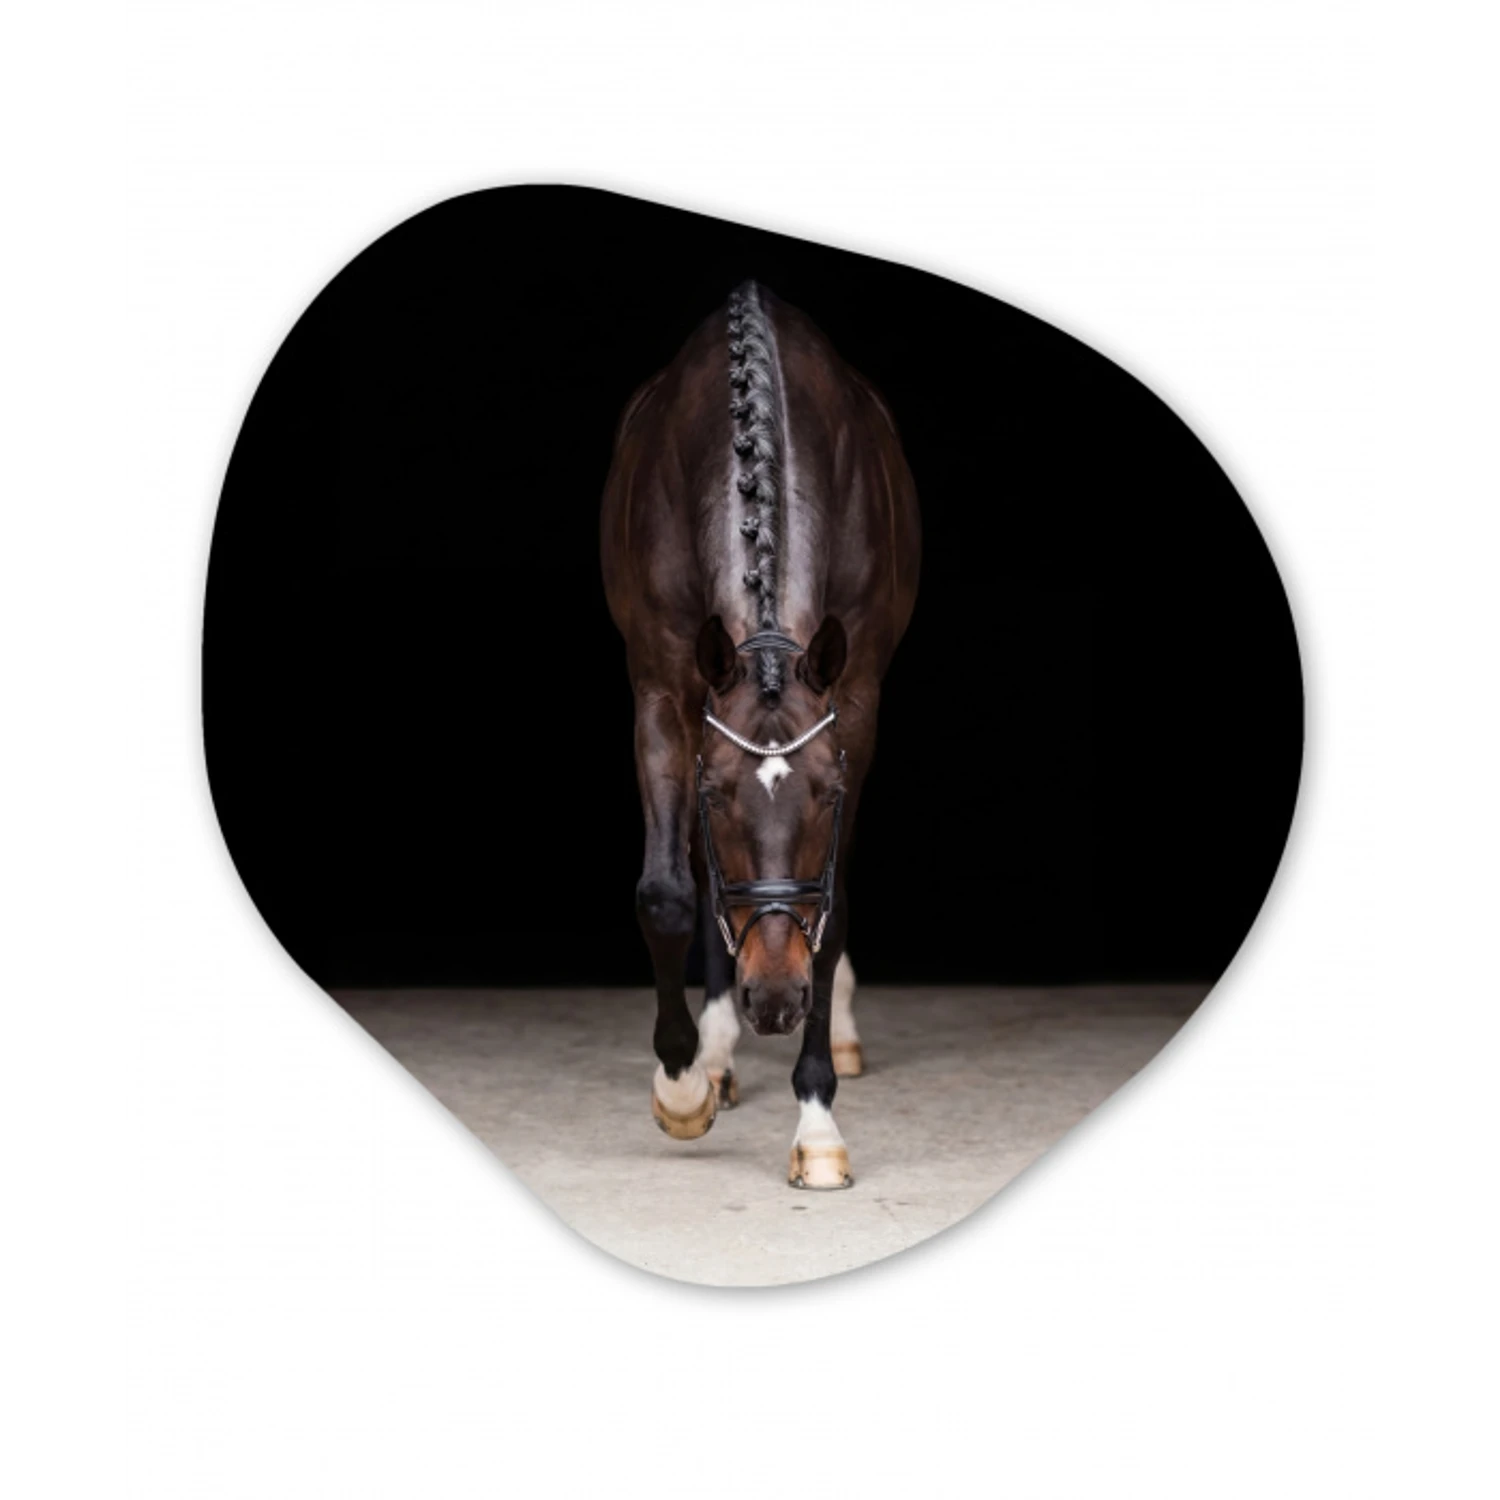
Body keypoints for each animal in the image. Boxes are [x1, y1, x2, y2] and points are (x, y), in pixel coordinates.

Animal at [600, 280, 920, 1189]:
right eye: (714, 796)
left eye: (828, 793)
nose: (774, 1000)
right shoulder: (662, 691)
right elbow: (670, 892)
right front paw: (681, 1087)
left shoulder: (855, 702)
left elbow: (830, 909)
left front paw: (816, 1124)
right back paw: (715, 1054)